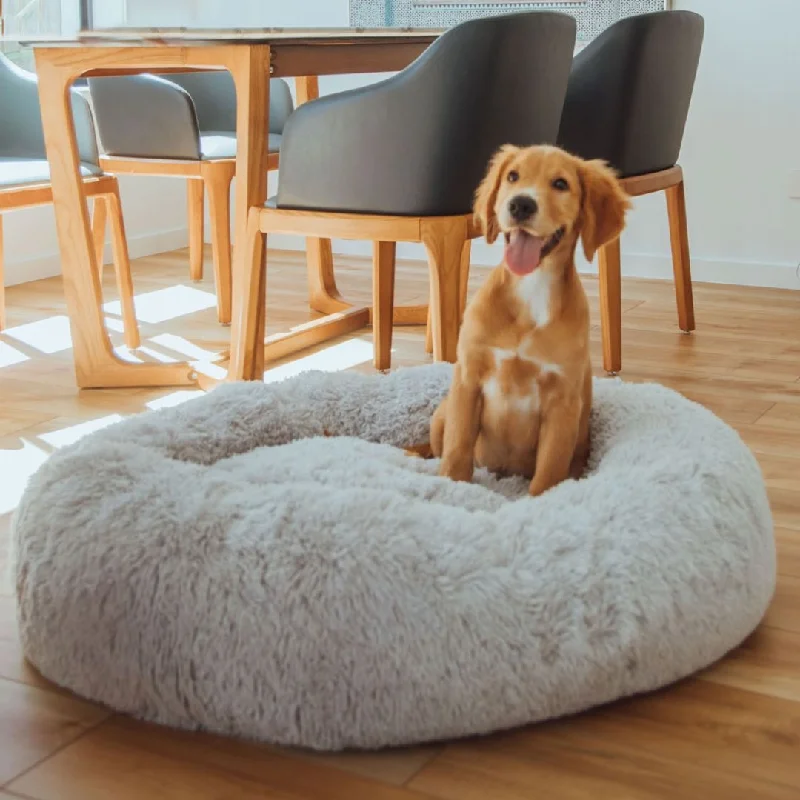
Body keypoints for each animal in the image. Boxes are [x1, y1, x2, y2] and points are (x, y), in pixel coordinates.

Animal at [432, 144, 632, 494]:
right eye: (513, 176)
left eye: (561, 184)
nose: (521, 204)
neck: (532, 287)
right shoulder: (467, 379)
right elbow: (457, 448)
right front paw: (452, 487)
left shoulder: (563, 402)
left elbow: (549, 472)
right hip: (439, 415)